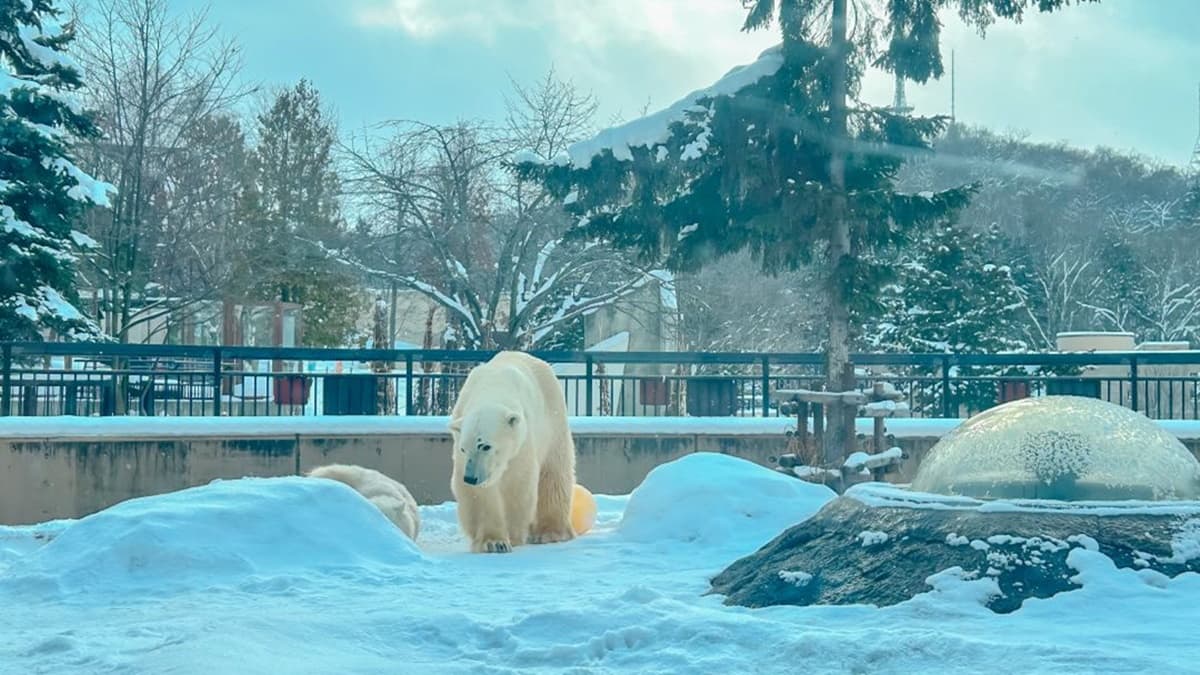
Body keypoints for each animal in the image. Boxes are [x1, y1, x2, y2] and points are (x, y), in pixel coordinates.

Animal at [448, 351, 577, 553]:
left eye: (485, 446)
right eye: (463, 448)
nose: (471, 477)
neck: (493, 386)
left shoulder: (522, 442)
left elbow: (517, 484)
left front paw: (510, 537)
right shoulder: (462, 456)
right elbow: (480, 495)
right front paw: (493, 542)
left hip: (554, 422)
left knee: (554, 473)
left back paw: (550, 532)